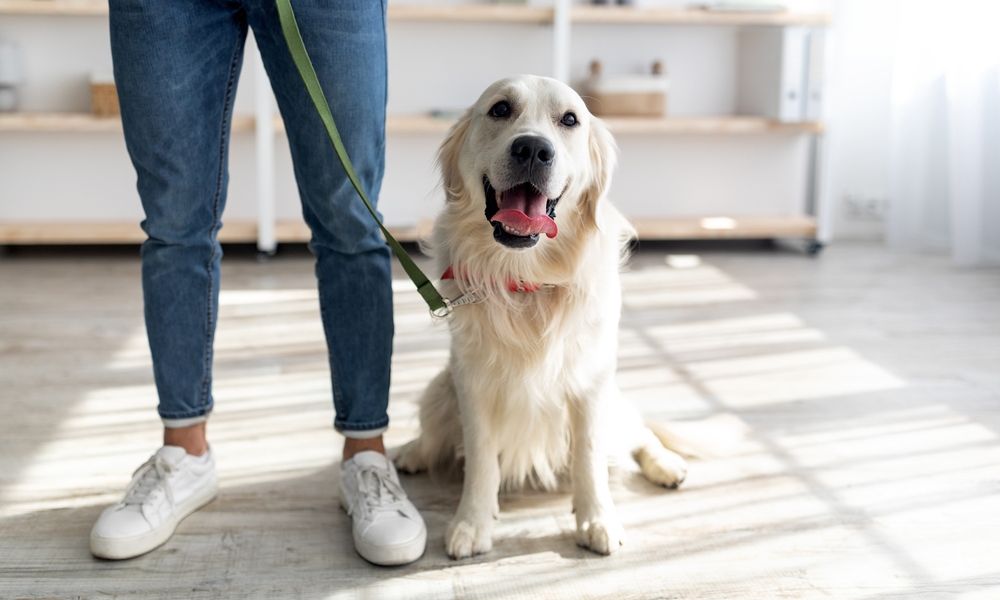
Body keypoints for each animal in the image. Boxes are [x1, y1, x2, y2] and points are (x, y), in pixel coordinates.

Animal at [394, 75, 692, 556]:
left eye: (569, 119)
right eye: (500, 109)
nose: (533, 149)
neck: (526, 280)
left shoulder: (590, 381)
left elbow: (589, 454)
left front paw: (597, 519)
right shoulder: (471, 381)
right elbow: (481, 459)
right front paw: (472, 523)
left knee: (640, 432)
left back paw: (667, 465)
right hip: (441, 387)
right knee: (434, 432)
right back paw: (413, 451)